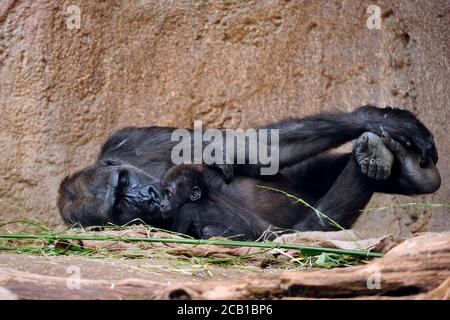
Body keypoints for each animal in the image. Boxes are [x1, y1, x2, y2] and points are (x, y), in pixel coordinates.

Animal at [57, 105, 440, 232]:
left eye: (123, 182)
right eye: (120, 206)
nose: (146, 198)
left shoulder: (131, 141)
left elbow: (240, 150)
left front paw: (380, 117)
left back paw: (407, 169)